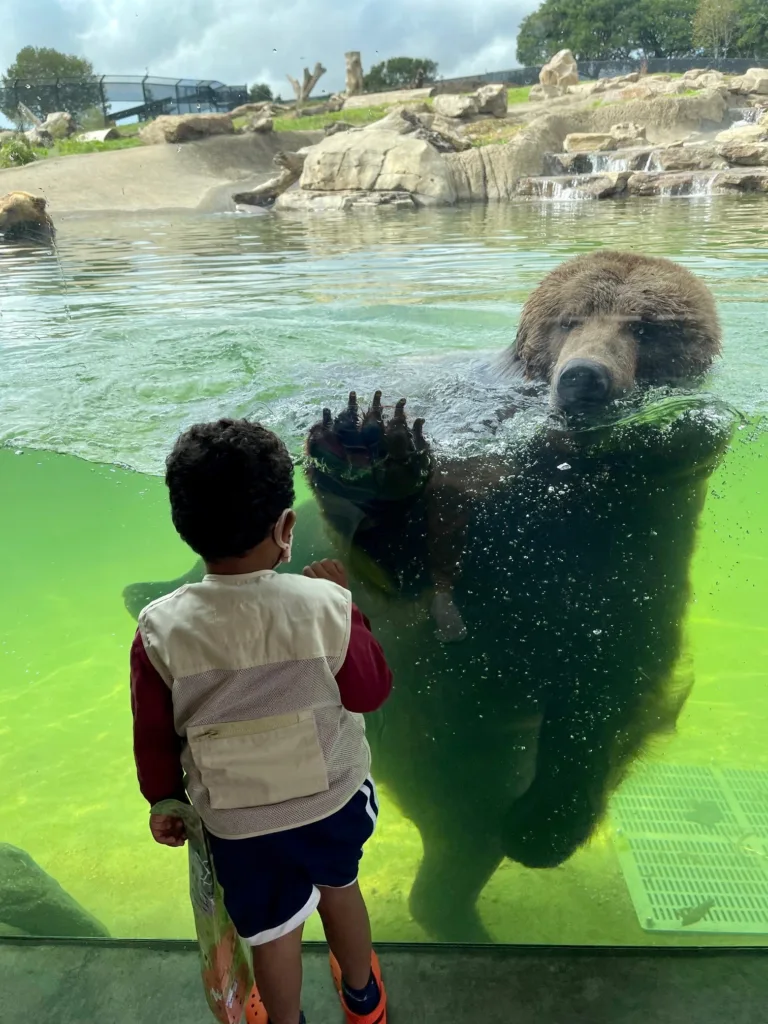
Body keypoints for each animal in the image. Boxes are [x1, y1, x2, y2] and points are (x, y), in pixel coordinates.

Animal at [123, 251, 736, 943]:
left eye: (646, 328)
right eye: (568, 320)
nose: (585, 378)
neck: (573, 479)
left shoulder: (644, 544)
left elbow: (610, 674)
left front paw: (546, 825)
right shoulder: (488, 509)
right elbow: (417, 567)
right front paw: (370, 456)